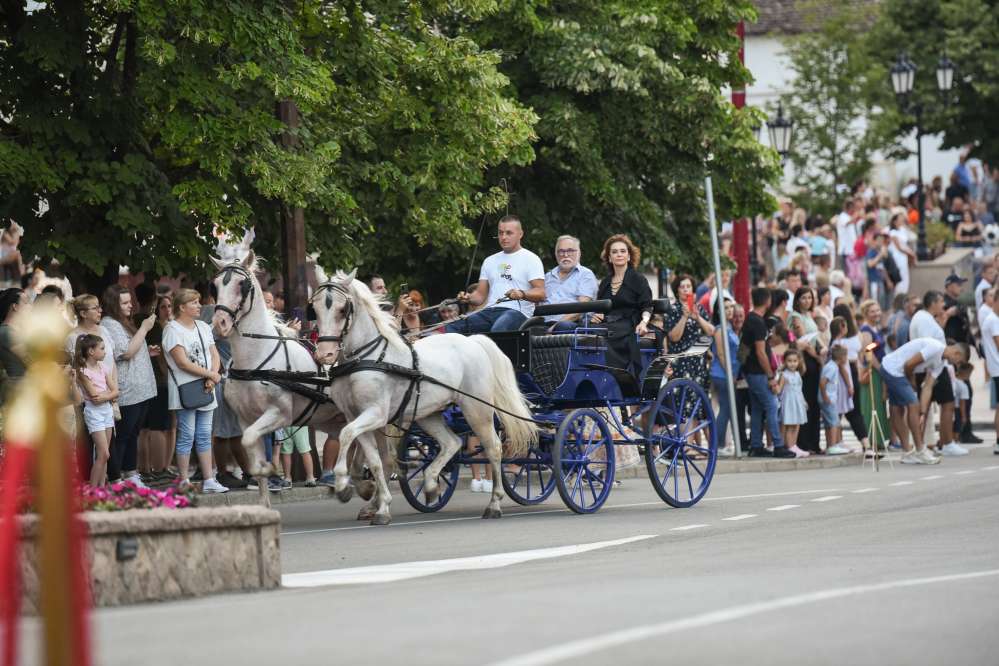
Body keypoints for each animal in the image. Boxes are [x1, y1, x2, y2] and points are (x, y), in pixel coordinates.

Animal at [314, 270, 540, 524]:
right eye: (314, 307)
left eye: (343, 309)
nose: (324, 355)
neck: (366, 357)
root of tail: (473, 340)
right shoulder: (355, 416)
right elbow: (374, 460)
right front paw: (378, 504)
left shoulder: (376, 414)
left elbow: (346, 436)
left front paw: (343, 484)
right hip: (428, 414)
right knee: (452, 443)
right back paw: (431, 485)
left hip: (476, 410)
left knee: (494, 448)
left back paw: (494, 504)